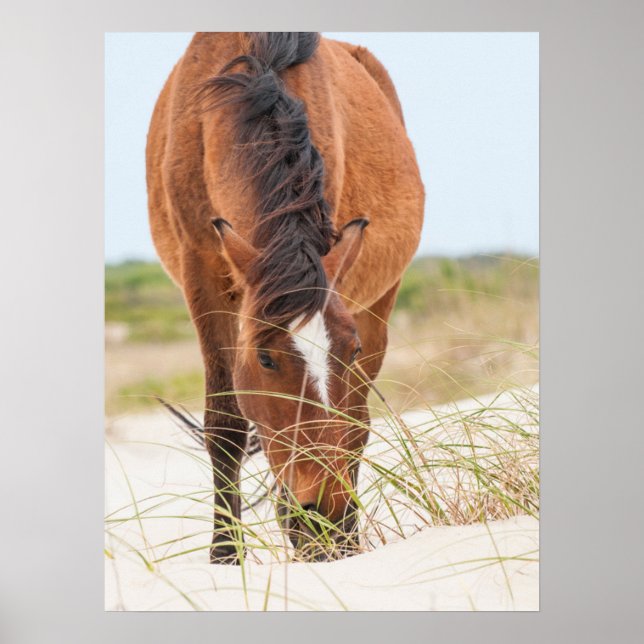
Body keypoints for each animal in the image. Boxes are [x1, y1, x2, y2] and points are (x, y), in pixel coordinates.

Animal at [146, 32, 424, 563]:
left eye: (351, 349)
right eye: (266, 359)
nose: (324, 512)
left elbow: (347, 425)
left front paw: (334, 536)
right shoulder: (202, 272)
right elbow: (226, 426)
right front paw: (225, 556)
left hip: (379, 302)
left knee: (357, 423)